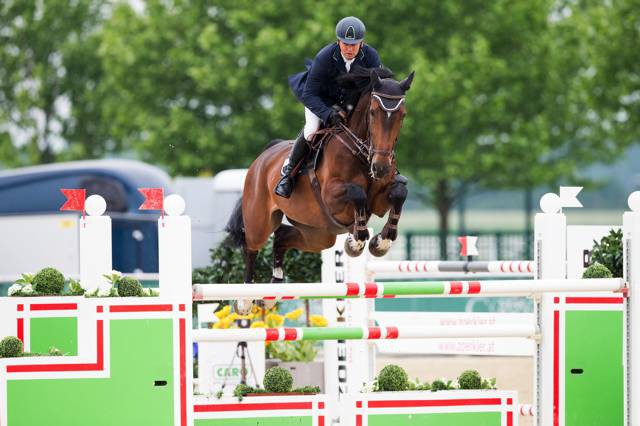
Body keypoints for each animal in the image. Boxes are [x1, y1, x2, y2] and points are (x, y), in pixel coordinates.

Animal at [228, 66, 412, 312]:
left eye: (402, 115)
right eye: (373, 113)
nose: (381, 167)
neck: (361, 153)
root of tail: (262, 157)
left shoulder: (380, 200)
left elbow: (399, 193)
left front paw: (381, 241)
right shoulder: (332, 197)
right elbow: (357, 193)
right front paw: (356, 241)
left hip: (318, 234)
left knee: (282, 237)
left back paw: (273, 288)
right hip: (260, 220)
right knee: (252, 247)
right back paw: (246, 298)